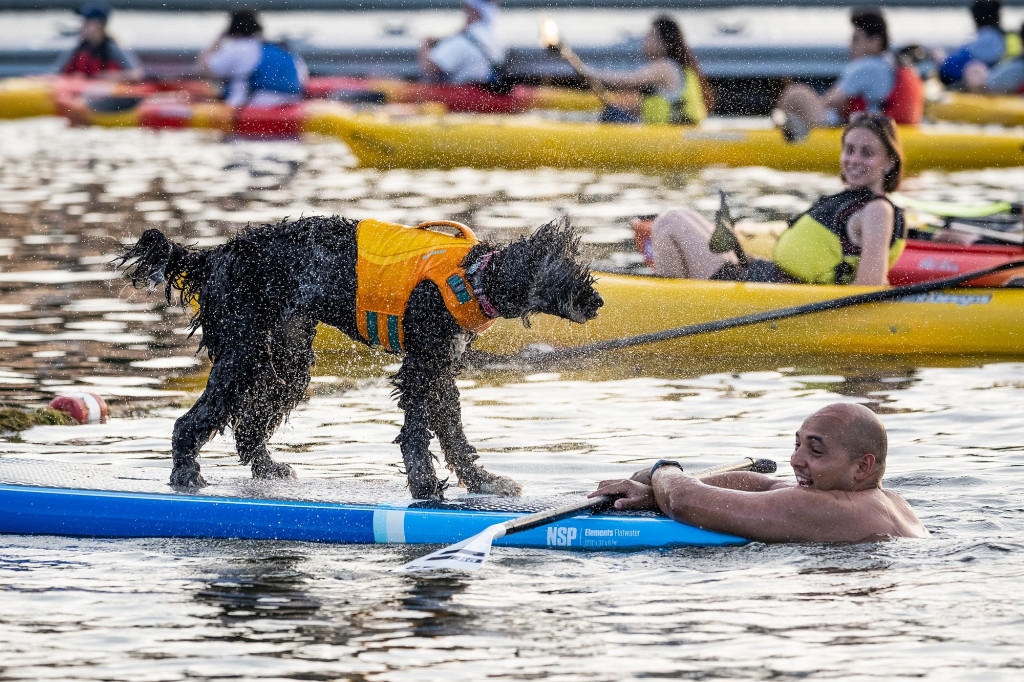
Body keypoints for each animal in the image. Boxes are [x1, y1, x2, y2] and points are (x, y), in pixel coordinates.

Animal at [117, 215, 602, 497]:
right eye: (566, 272)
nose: (596, 302)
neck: (475, 276)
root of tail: (216, 256)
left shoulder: (442, 369)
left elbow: (452, 431)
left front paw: (482, 481)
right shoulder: (422, 366)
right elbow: (417, 433)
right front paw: (425, 484)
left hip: (288, 358)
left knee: (249, 425)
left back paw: (267, 467)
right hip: (243, 355)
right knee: (192, 421)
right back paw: (185, 473)